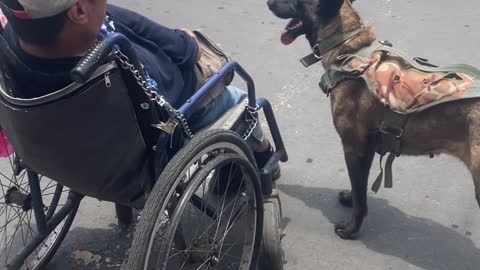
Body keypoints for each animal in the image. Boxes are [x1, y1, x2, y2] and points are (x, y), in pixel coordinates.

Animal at [268, 0, 480, 239]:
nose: (268, 3)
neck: (347, 48)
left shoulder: (353, 147)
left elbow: (361, 198)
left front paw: (351, 229)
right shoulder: (366, 148)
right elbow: (359, 186)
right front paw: (350, 198)